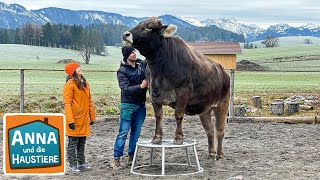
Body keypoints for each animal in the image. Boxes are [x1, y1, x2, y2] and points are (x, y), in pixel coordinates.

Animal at [122, 16, 230, 159]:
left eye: (149, 27)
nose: (126, 34)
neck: (160, 67)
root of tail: (223, 72)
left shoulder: (182, 93)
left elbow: (178, 115)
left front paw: (178, 138)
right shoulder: (154, 94)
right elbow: (158, 116)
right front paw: (157, 137)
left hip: (222, 104)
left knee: (220, 130)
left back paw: (220, 154)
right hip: (205, 108)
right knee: (210, 130)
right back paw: (211, 153)